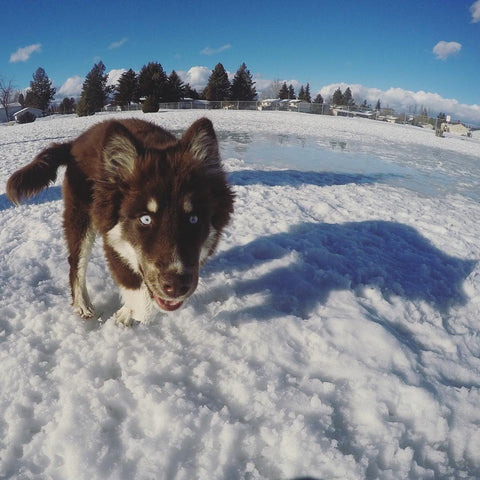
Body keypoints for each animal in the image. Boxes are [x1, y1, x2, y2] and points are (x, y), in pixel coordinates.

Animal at [6, 117, 234, 324]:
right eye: (145, 219)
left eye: (193, 218)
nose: (176, 285)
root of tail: (75, 142)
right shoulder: (113, 240)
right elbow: (140, 297)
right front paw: (131, 312)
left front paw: (127, 312)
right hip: (81, 215)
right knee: (76, 263)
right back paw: (82, 304)